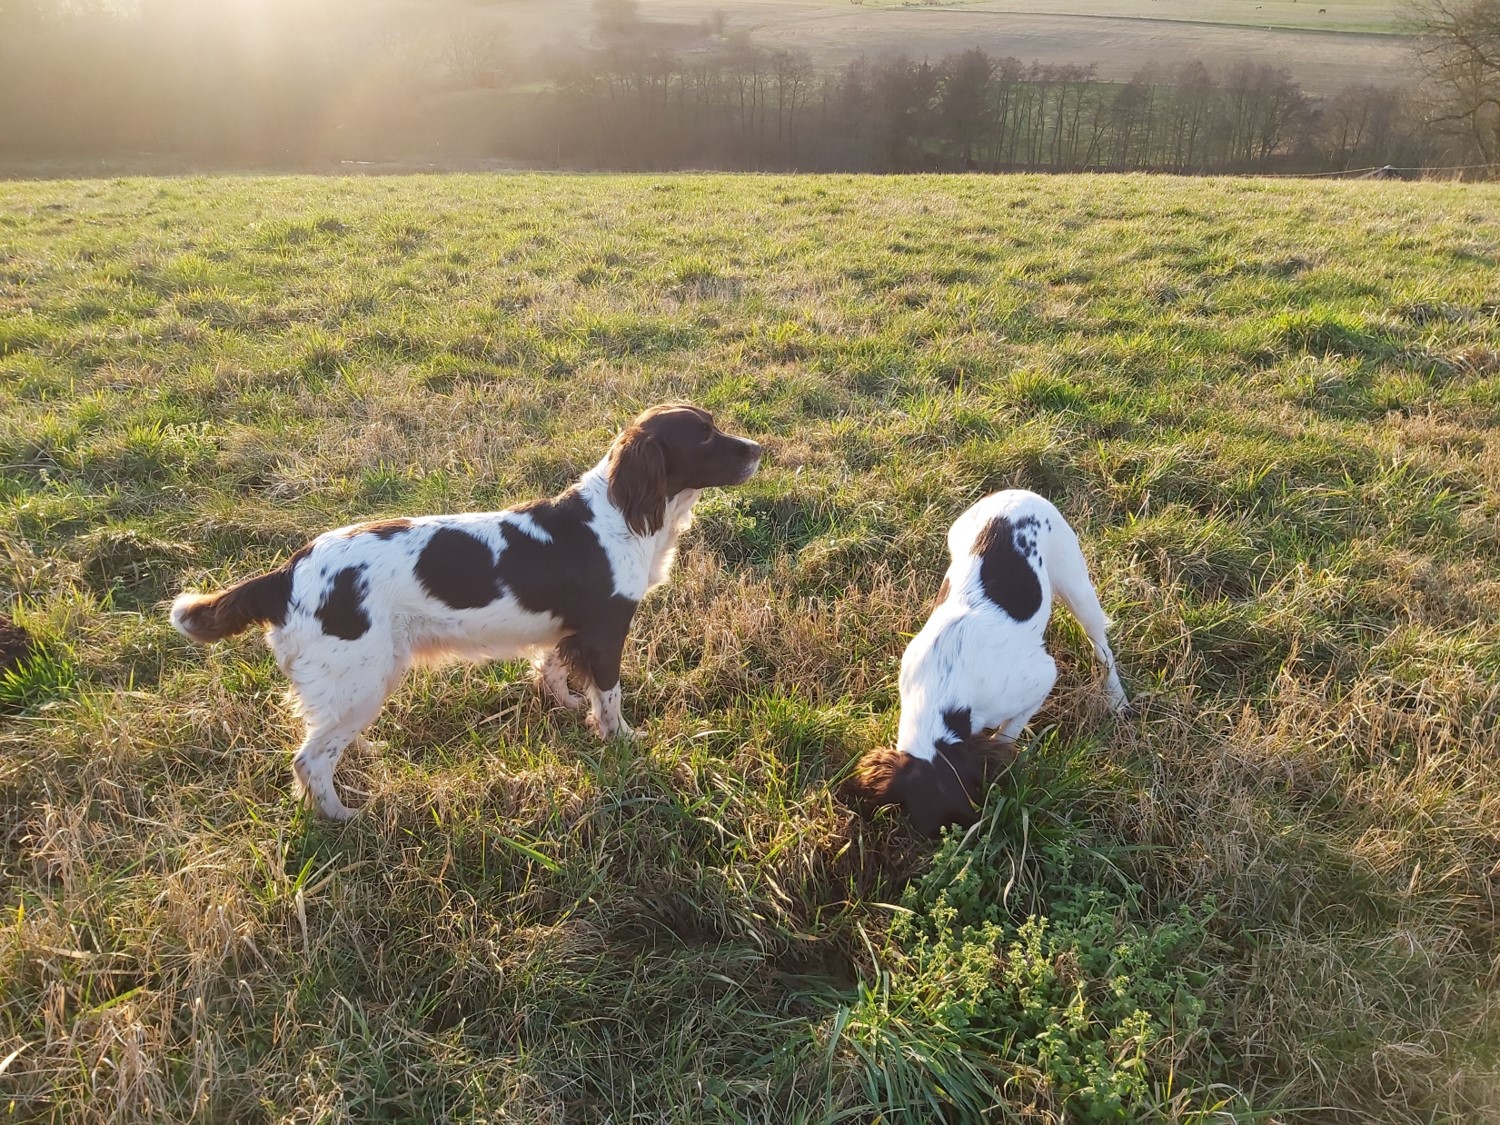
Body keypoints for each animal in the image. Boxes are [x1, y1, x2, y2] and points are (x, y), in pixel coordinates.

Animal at [171, 403, 762, 819]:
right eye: (704, 435)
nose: (759, 448)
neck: (622, 514)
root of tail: (287, 572)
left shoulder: (570, 630)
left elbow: (554, 668)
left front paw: (571, 706)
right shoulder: (606, 629)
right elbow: (611, 698)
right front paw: (623, 742)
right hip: (359, 677)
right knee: (310, 758)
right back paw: (344, 816)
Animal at [848, 490, 1127, 837]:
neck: (942, 689)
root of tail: (1014, 493)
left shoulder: (1041, 677)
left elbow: (1007, 733)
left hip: (1076, 587)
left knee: (1102, 646)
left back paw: (1116, 697)